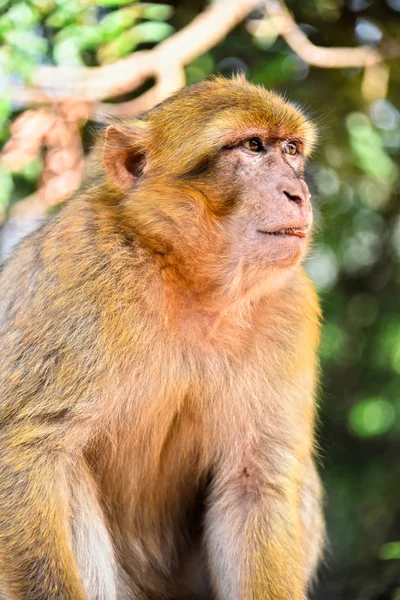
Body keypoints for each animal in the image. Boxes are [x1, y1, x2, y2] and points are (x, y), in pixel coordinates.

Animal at [0, 76, 324, 600]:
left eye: (291, 150)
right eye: (253, 146)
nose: (298, 192)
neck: (192, 281)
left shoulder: (290, 307)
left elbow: (257, 482)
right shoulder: (81, 268)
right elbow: (27, 449)